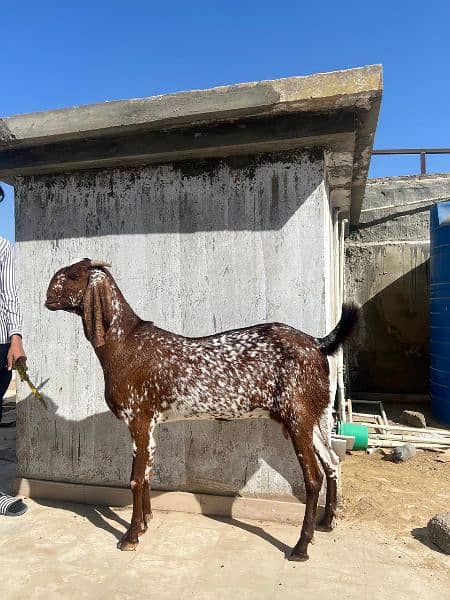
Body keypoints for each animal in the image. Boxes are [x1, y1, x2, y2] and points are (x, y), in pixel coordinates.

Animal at [45, 258, 358, 564]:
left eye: (73, 275)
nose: (47, 296)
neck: (124, 343)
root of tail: (317, 343)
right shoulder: (151, 424)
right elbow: (147, 474)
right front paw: (145, 523)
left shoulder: (138, 418)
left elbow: (135, 479)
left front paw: (131, 536)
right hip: (315, 417)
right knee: (332, 462)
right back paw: (326, 523)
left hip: (297, 418)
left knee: (313, 478)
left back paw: (301, 547)